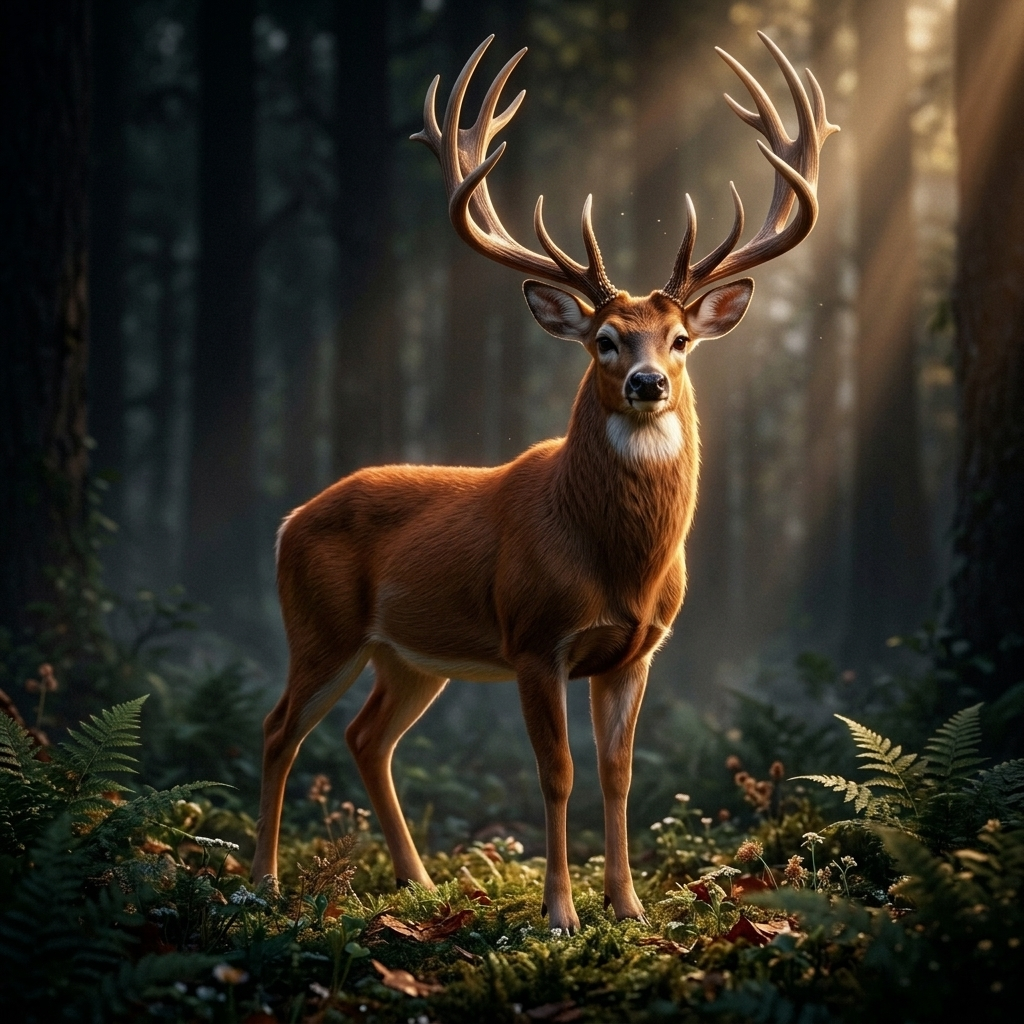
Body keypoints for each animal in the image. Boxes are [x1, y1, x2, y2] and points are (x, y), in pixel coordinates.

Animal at [252, 32, 837, 933]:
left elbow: (618, 775)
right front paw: (560, 913)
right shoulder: (534, 637)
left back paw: (420, 883)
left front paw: (629, 906)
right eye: (604, 340)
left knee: (366, 736)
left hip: (410, 656)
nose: (646, 383)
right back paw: (264, 882)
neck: (617, 562)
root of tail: (289, 520)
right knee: (280, 729)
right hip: (321, 627)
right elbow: (556, 774)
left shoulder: (635, 650)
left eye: (678, 339)